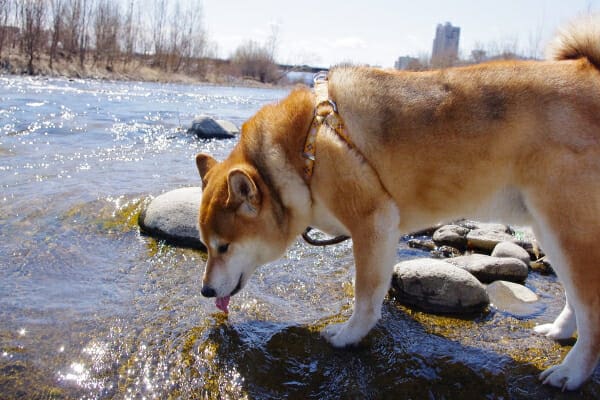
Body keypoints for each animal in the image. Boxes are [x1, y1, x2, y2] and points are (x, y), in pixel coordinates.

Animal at [195, 16, 600, 390]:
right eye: (206, 246)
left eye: (224, 247)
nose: (205, 291)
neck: (304, 152)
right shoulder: (383, 232)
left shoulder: (372, 222)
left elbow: (365, 294)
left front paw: (349, 335)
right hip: (549, 230)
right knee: (574, 302)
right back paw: (559, 332)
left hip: (569, 231)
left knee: (592, 316)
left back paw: (571, 373)